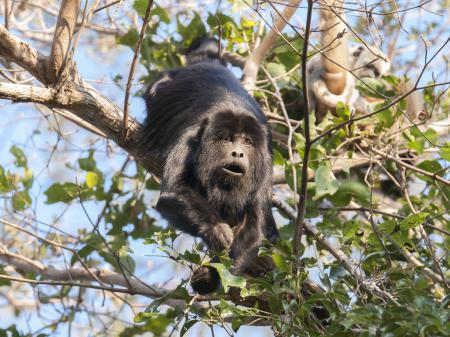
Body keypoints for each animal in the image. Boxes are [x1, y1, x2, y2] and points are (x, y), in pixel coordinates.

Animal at [144, 37, 278, 294]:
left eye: (247, 142)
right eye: (227, 139)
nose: (238, 152)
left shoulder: (265, 166)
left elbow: (254, 229)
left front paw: (212, 276)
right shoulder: (187, 141)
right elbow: (172, 194)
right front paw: (214, 228)